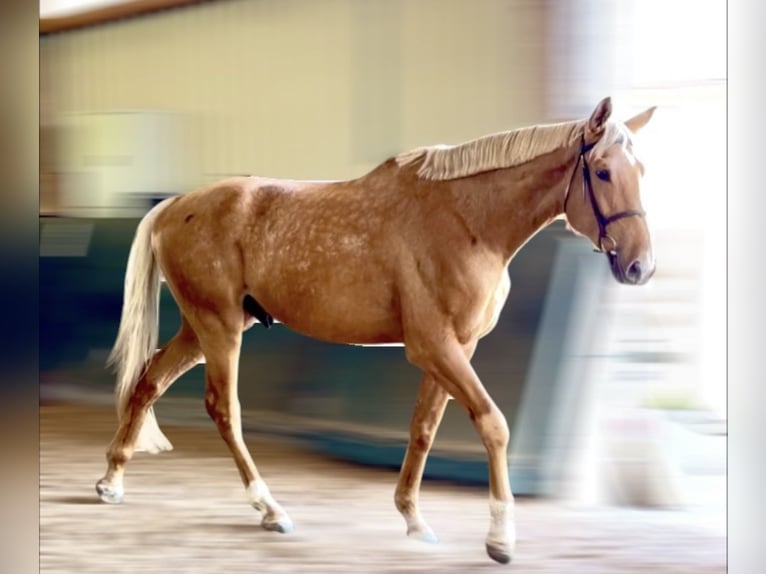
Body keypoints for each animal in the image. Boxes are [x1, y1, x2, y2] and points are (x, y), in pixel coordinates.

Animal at [95, 97, 656, 564]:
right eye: (603, 171)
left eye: (642, 170)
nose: (640, 267)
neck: (467, 220)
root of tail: (173, 206)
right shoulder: (434, 347)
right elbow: (493, 424)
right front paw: (501, 539)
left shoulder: (456, 348)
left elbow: (423, 428)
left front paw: (414, 519)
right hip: (219, 328)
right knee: (223, 409)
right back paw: (270, 509)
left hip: (205, 327)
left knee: (149, 381)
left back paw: (111, 480)